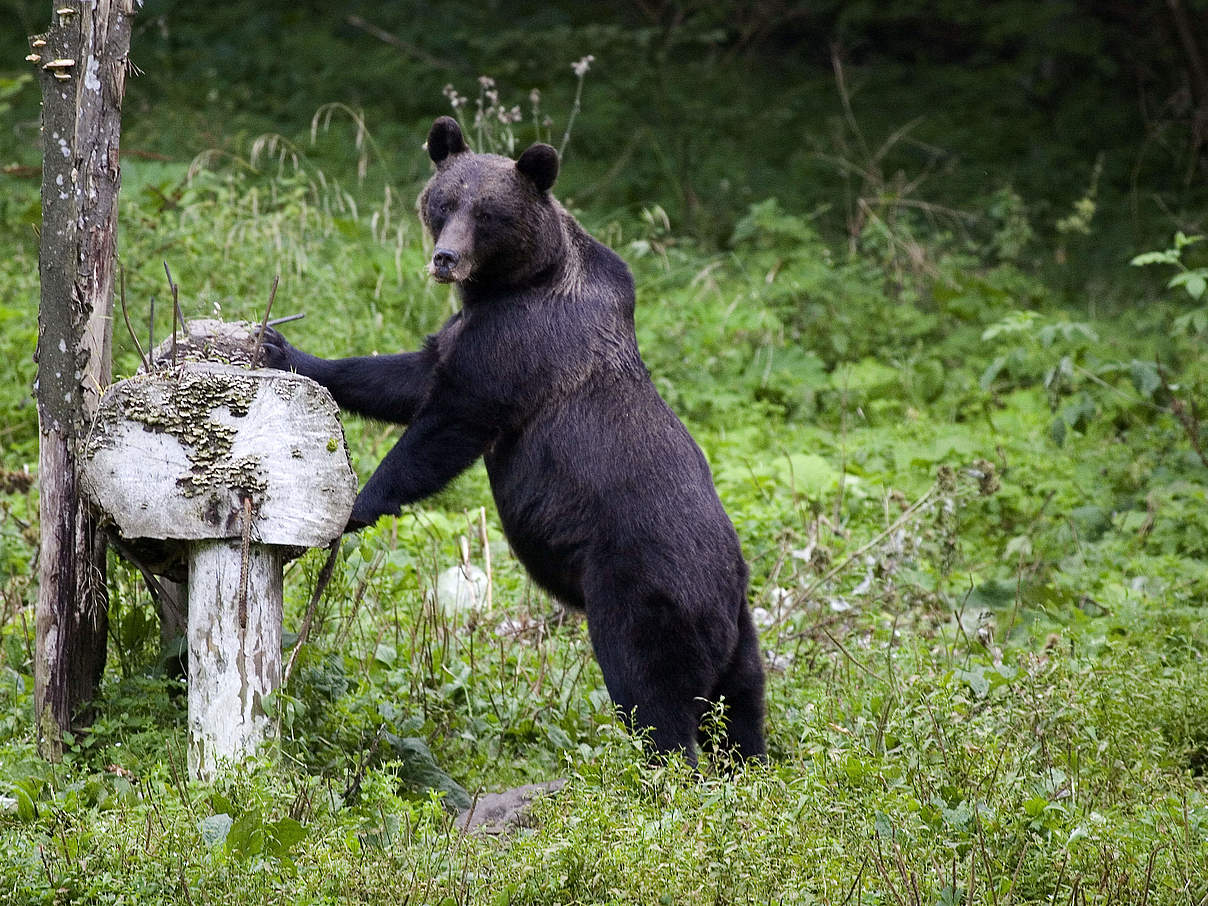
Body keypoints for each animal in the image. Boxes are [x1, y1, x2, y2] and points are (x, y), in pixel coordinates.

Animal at [263, 115, 768, 768]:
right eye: (444, 202)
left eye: (487, 214)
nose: (445, 258)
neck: (510, 283)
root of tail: (724, 590)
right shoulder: (463, 333)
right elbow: (406, 376)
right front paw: (284, 348)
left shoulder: (519, 345)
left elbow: (449, 422)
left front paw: (357, 504)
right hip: (740, 636)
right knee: (742, 710)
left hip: (641, 592)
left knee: (652, 694)